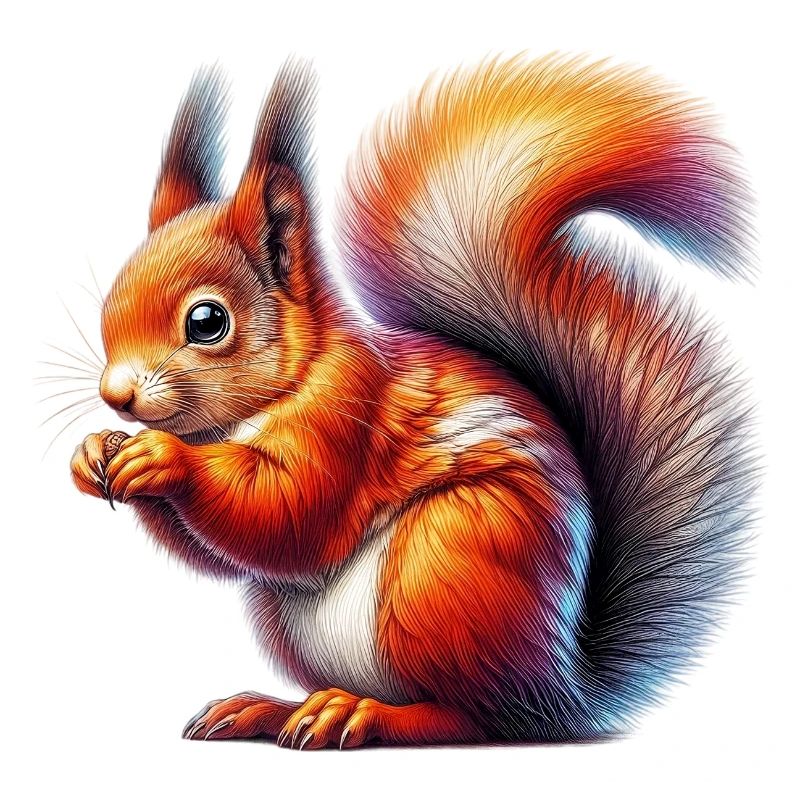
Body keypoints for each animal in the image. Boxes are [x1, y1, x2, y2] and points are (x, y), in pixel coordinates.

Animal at [70, 55, 755, 748]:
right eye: (110, 303)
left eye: (207, 321)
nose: (116, 395)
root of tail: (567, 686)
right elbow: (218, 553)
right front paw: (95, 451)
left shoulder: (349, 413)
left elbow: (288, 510)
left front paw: (163, 458)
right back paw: (274, 708)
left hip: (447, 561)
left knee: (480, 717)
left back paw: (362, 713)